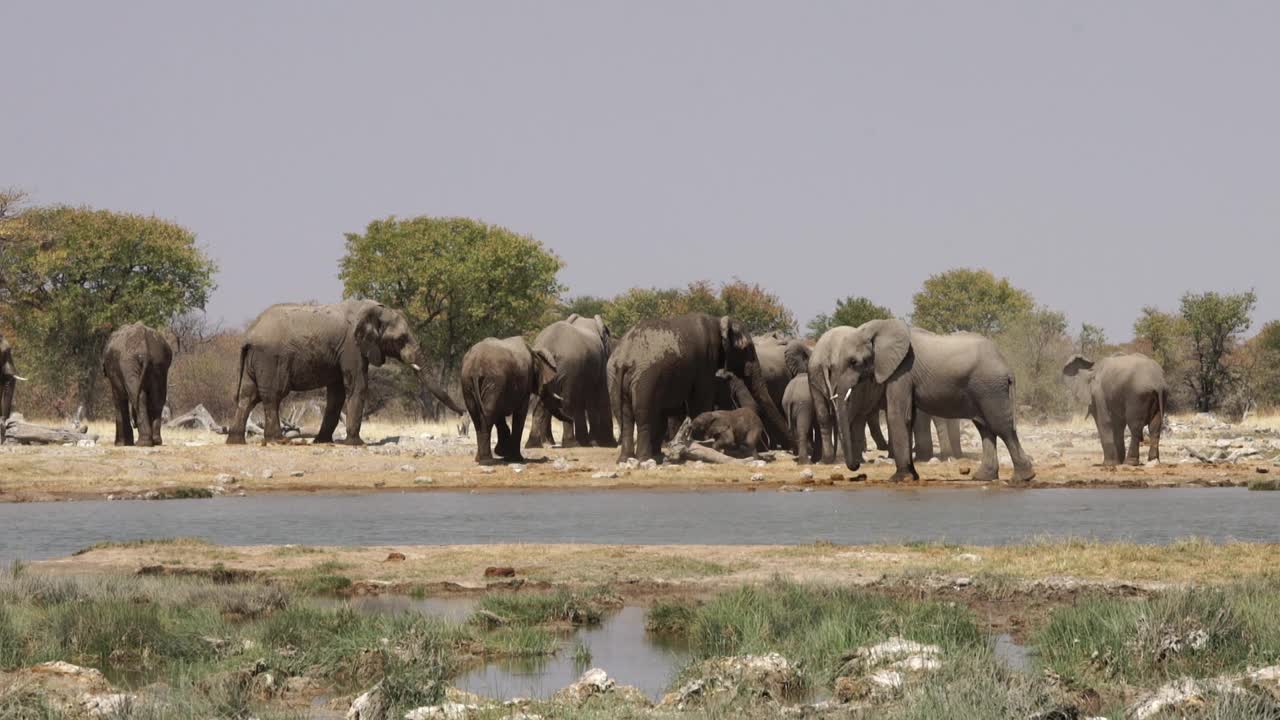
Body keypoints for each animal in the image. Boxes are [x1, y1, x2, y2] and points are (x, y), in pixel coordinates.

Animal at [230, 297, 460, 443]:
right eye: (401, 339)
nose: (463, 413)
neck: (372, 309)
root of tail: (248, 336)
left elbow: (337, 394)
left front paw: (322, 441)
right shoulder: (352, 347)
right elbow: (358, 386)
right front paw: (356, 443)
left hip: (256, 360)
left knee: (247, 396)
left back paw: (235, 440)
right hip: (271, 359)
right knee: (272, 396)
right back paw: (277, 440)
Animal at [524, 313, 614, 448]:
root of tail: (550, 345)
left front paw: (589, 442)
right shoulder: (600, 362)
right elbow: (599, 395)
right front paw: (602, 443)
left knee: (539, 402)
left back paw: (533, 444)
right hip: (570, 365)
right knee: (567, 401)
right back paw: (572, 443)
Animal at [606, 312, 788, 458]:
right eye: (747, 348)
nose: (788, 451)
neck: (717, 321)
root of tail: (624, 357)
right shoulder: (705, 361)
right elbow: (701, 401)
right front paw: (701, 444)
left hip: (616, 376)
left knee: (627, 417)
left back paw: (625, 460)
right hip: (645, 378)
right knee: (643, 416)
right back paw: (645, 460)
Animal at [814, 320, 1034, 481]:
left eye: (853, 362)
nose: (857, 467)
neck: (878, 328)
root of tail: (1007, 366)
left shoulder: (902, 370)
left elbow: (897, 415)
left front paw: (899, 479)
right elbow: (908, 417)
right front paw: (912, 476)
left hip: (990, 387)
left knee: (1001, 427)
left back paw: (1023, 478)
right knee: (985, 428)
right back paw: (983, 478)